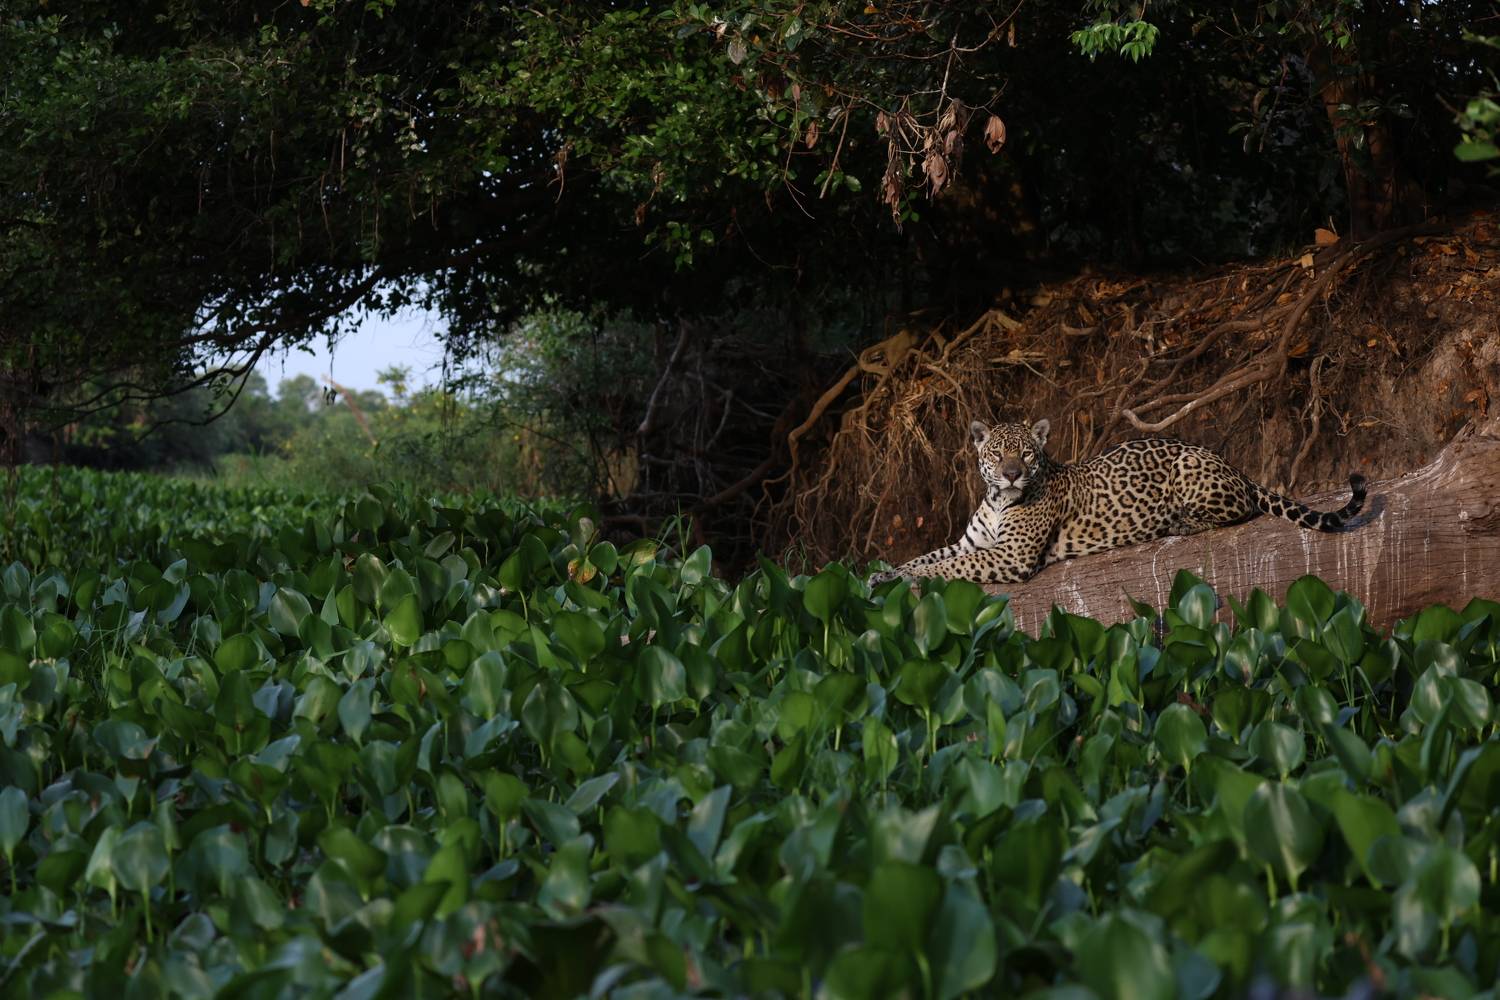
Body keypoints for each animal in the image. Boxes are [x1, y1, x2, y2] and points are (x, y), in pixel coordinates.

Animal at [869, 417, 1367, 586]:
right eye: (996, 453)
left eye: (1026, 453)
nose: (1011, 473)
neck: (997, 500)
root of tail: (1234, 464)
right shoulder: (973, 543)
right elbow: (928, 556)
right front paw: (882, 574)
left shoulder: (1010, 555)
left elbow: (948, 568)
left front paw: (908, 580)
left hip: (1189, 468)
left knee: (1238, 509)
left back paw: (1175, 521)